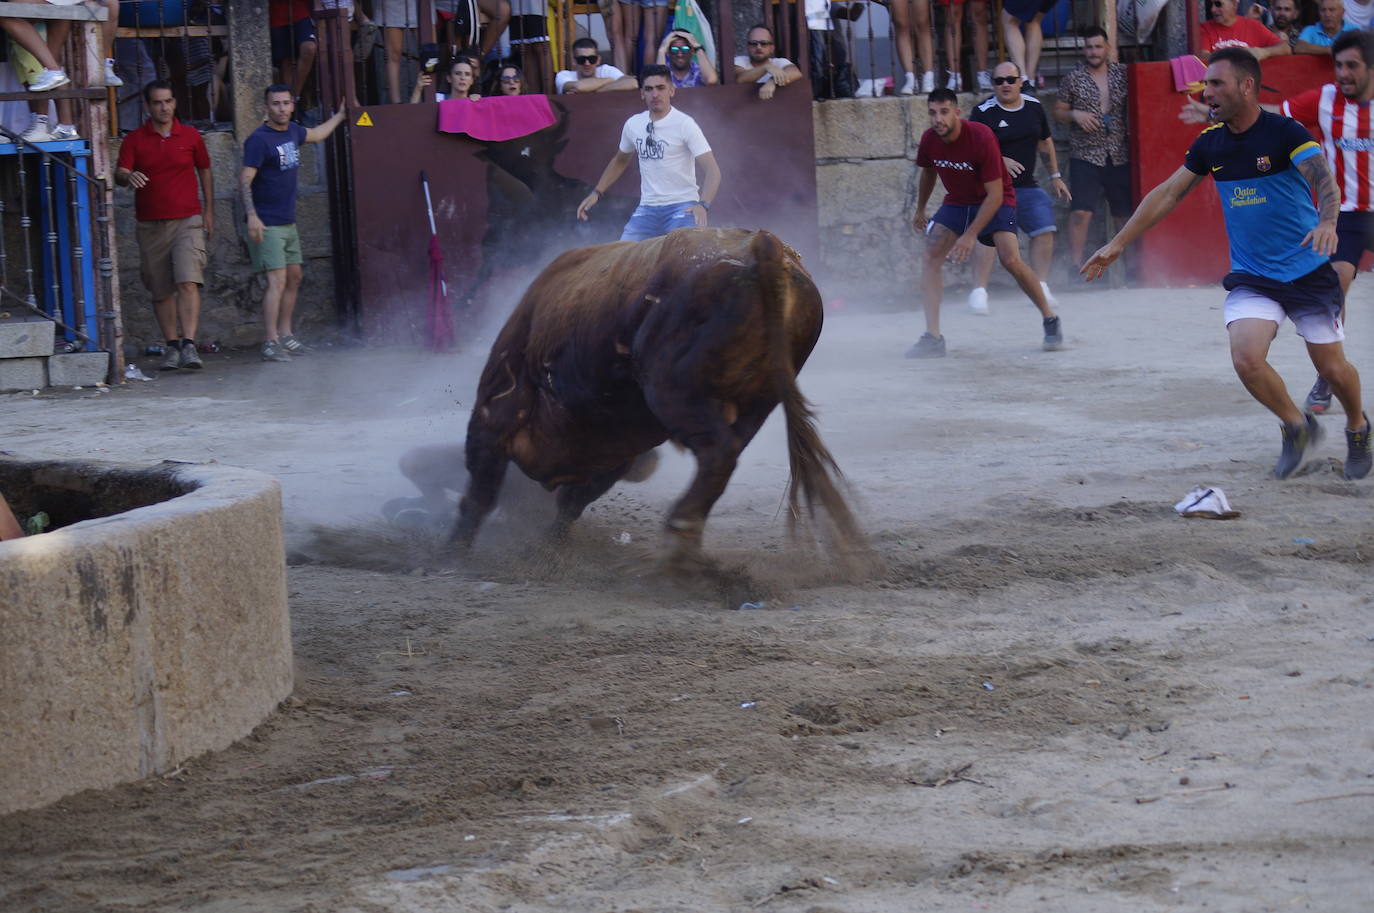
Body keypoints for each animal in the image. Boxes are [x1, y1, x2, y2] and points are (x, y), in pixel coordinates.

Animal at [450, 226, 862, 572]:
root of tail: (763, 243)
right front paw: (545, 547)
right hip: (756, 403)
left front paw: (453, 551)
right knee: (724, 456)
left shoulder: (496, 411)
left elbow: (482, 490)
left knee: (717, 451)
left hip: (674, 392)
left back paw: (680, 535)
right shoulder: (616, 447)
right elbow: (573, 501)